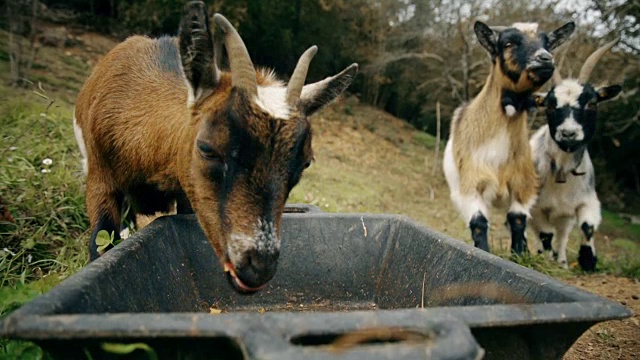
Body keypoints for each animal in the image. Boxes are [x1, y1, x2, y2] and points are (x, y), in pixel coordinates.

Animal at [74, 2, 360, 292]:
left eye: (304, 163)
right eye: (207, 148)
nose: (258, 267)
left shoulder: (188, 194)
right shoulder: (100, 180)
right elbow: (100, 244)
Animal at [444, 21, 576, 255]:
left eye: (547, 43)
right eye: (508, 43)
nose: (545, 58)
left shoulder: (524, 185)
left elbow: (517, 219)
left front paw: (520, 254)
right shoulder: (469, 185)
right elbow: (478, 223)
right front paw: (483, 252)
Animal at [528, 38, 620, 270]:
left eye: (592, 103)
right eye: (550, 105)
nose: (568, 133)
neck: (562, 171)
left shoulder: (588, 200)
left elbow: (587, 227)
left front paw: (588, 260)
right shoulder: (536, 208)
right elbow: (545, 234)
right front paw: (545, 258)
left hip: (565, 218)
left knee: (562, 236)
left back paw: (561, 259)